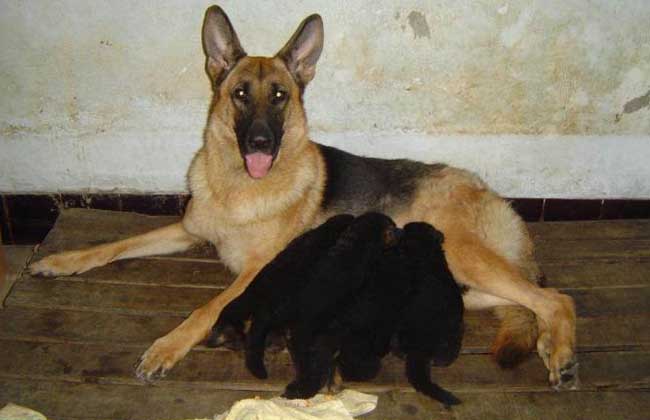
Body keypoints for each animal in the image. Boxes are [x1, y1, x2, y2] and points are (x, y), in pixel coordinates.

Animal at [30, 4, 576, 388]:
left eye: (280, 97)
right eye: (240, 95)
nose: (260, 143)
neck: (238, 189)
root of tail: (491, 193)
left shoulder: (255, 270)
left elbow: (205, 309)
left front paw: (167, 346)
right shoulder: (187, 230)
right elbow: (114, 246)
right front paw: (61, 260)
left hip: (463, 253)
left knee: (555, 298)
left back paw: (561, 353)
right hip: (466, 278)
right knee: (522, 301)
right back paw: (548, 343)